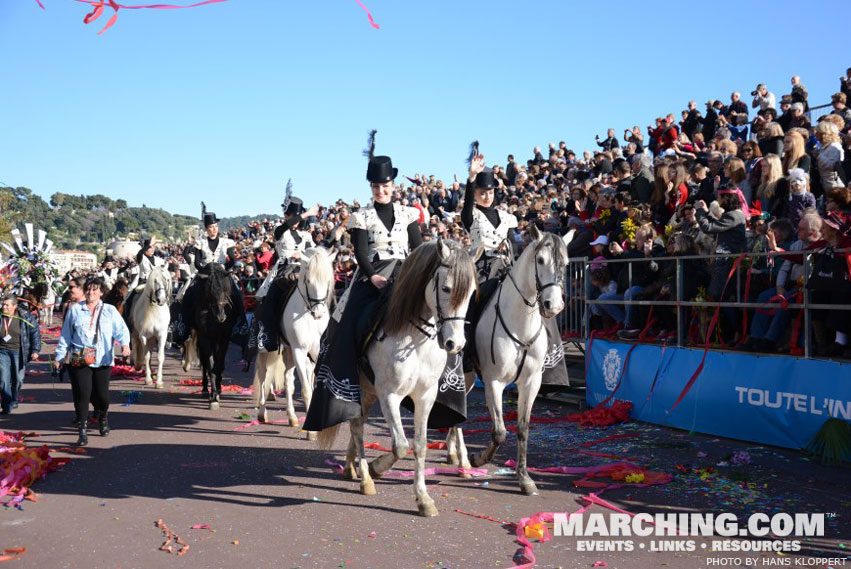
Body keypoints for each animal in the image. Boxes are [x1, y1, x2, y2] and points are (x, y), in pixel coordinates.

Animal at [253, 246, 336, 438]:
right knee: (262, 375)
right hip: (267, 351)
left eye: (328, 280)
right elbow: (305, 389)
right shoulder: (300, 350)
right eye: (308, 280)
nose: (319, 313)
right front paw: (311, 432)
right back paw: (262, 413)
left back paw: (291, 417)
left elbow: (311, 386)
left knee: (288, 380)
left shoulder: (315, 353)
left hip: (289, 352)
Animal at [320, 242, 480, 516]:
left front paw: (424, 498)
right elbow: (401, 445)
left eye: (470, 293)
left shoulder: (425, 397)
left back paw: (351, 466)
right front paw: (377, 468)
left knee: (358, 422)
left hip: (368, 391)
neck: (414, 338)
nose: (455, 344)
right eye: (446, 288)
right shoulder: (390, 395)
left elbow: (420, 445)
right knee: (357, 425)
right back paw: (365, 478)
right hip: (362, 388)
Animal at [446, 224, 564, 494]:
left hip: (469, 378)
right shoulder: (494, 382)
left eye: (565, 263)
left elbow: (522, 428)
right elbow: (499, 431)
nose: (553, 305)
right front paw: (479, 458)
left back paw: (454, 455)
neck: (520, 323)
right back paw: (464, 460)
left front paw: (525, 478)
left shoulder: (531, 382)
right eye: (540, 260)